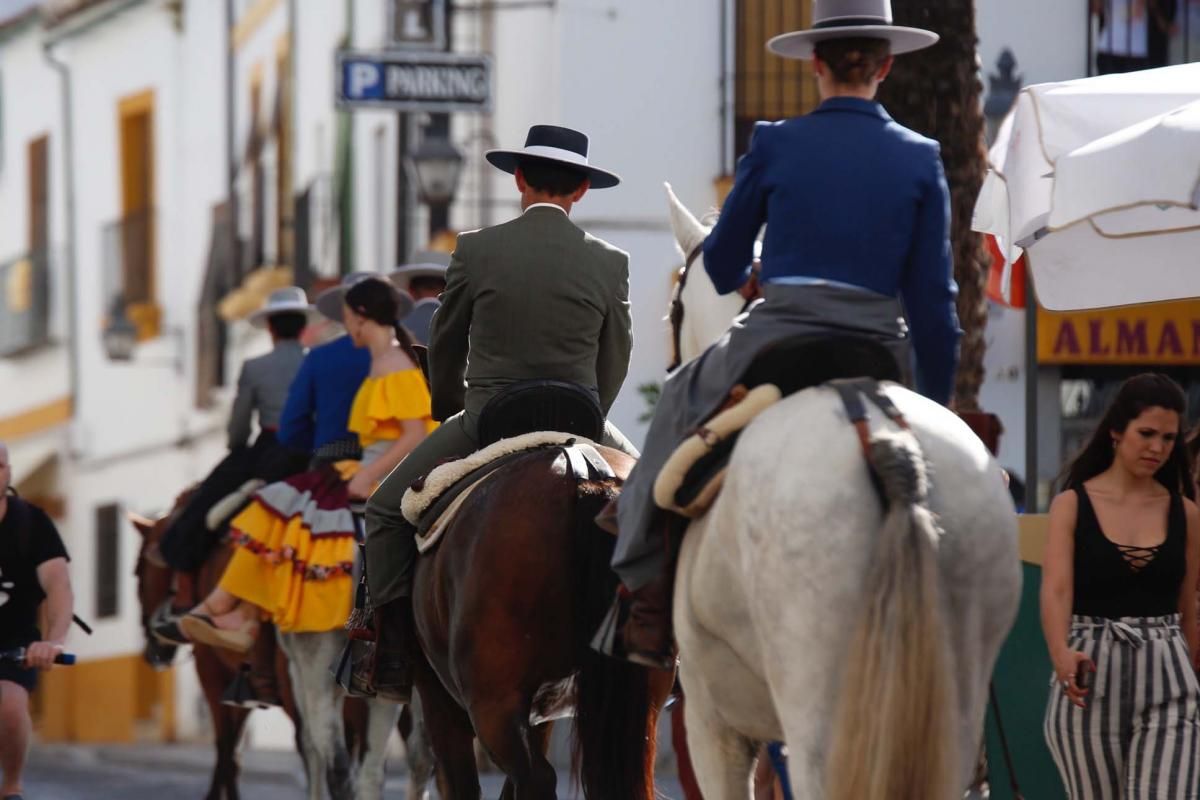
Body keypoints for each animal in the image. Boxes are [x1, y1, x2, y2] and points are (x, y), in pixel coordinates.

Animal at [133, 489, 434, 800]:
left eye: (138, 573)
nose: (153, 652)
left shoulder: (215, 672)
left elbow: (233, 749)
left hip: (315, 675)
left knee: (334, 760)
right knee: (407, 759)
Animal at [410, 448, 676, 796]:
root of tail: (588, 471)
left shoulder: (439, 700)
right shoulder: (539, 710)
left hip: (493, 705)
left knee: (536, 778)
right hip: (644, 702)